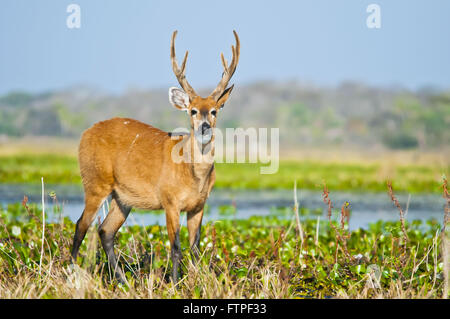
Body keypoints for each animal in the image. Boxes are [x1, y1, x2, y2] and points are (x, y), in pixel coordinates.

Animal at [70, 30, 239, 284]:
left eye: (214, 110)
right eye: (192, 111)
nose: (204, 127)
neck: (192, 175)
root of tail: (85, 133)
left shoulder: (198, 206)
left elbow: (195, 248)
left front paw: (200, 281)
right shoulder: (169, 201)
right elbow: (176, 247)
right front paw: (175, 283)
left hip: (122, 197)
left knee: (105, 230)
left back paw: (123, 280)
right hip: (95, 181)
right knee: (81, 225)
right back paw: (69, 272)